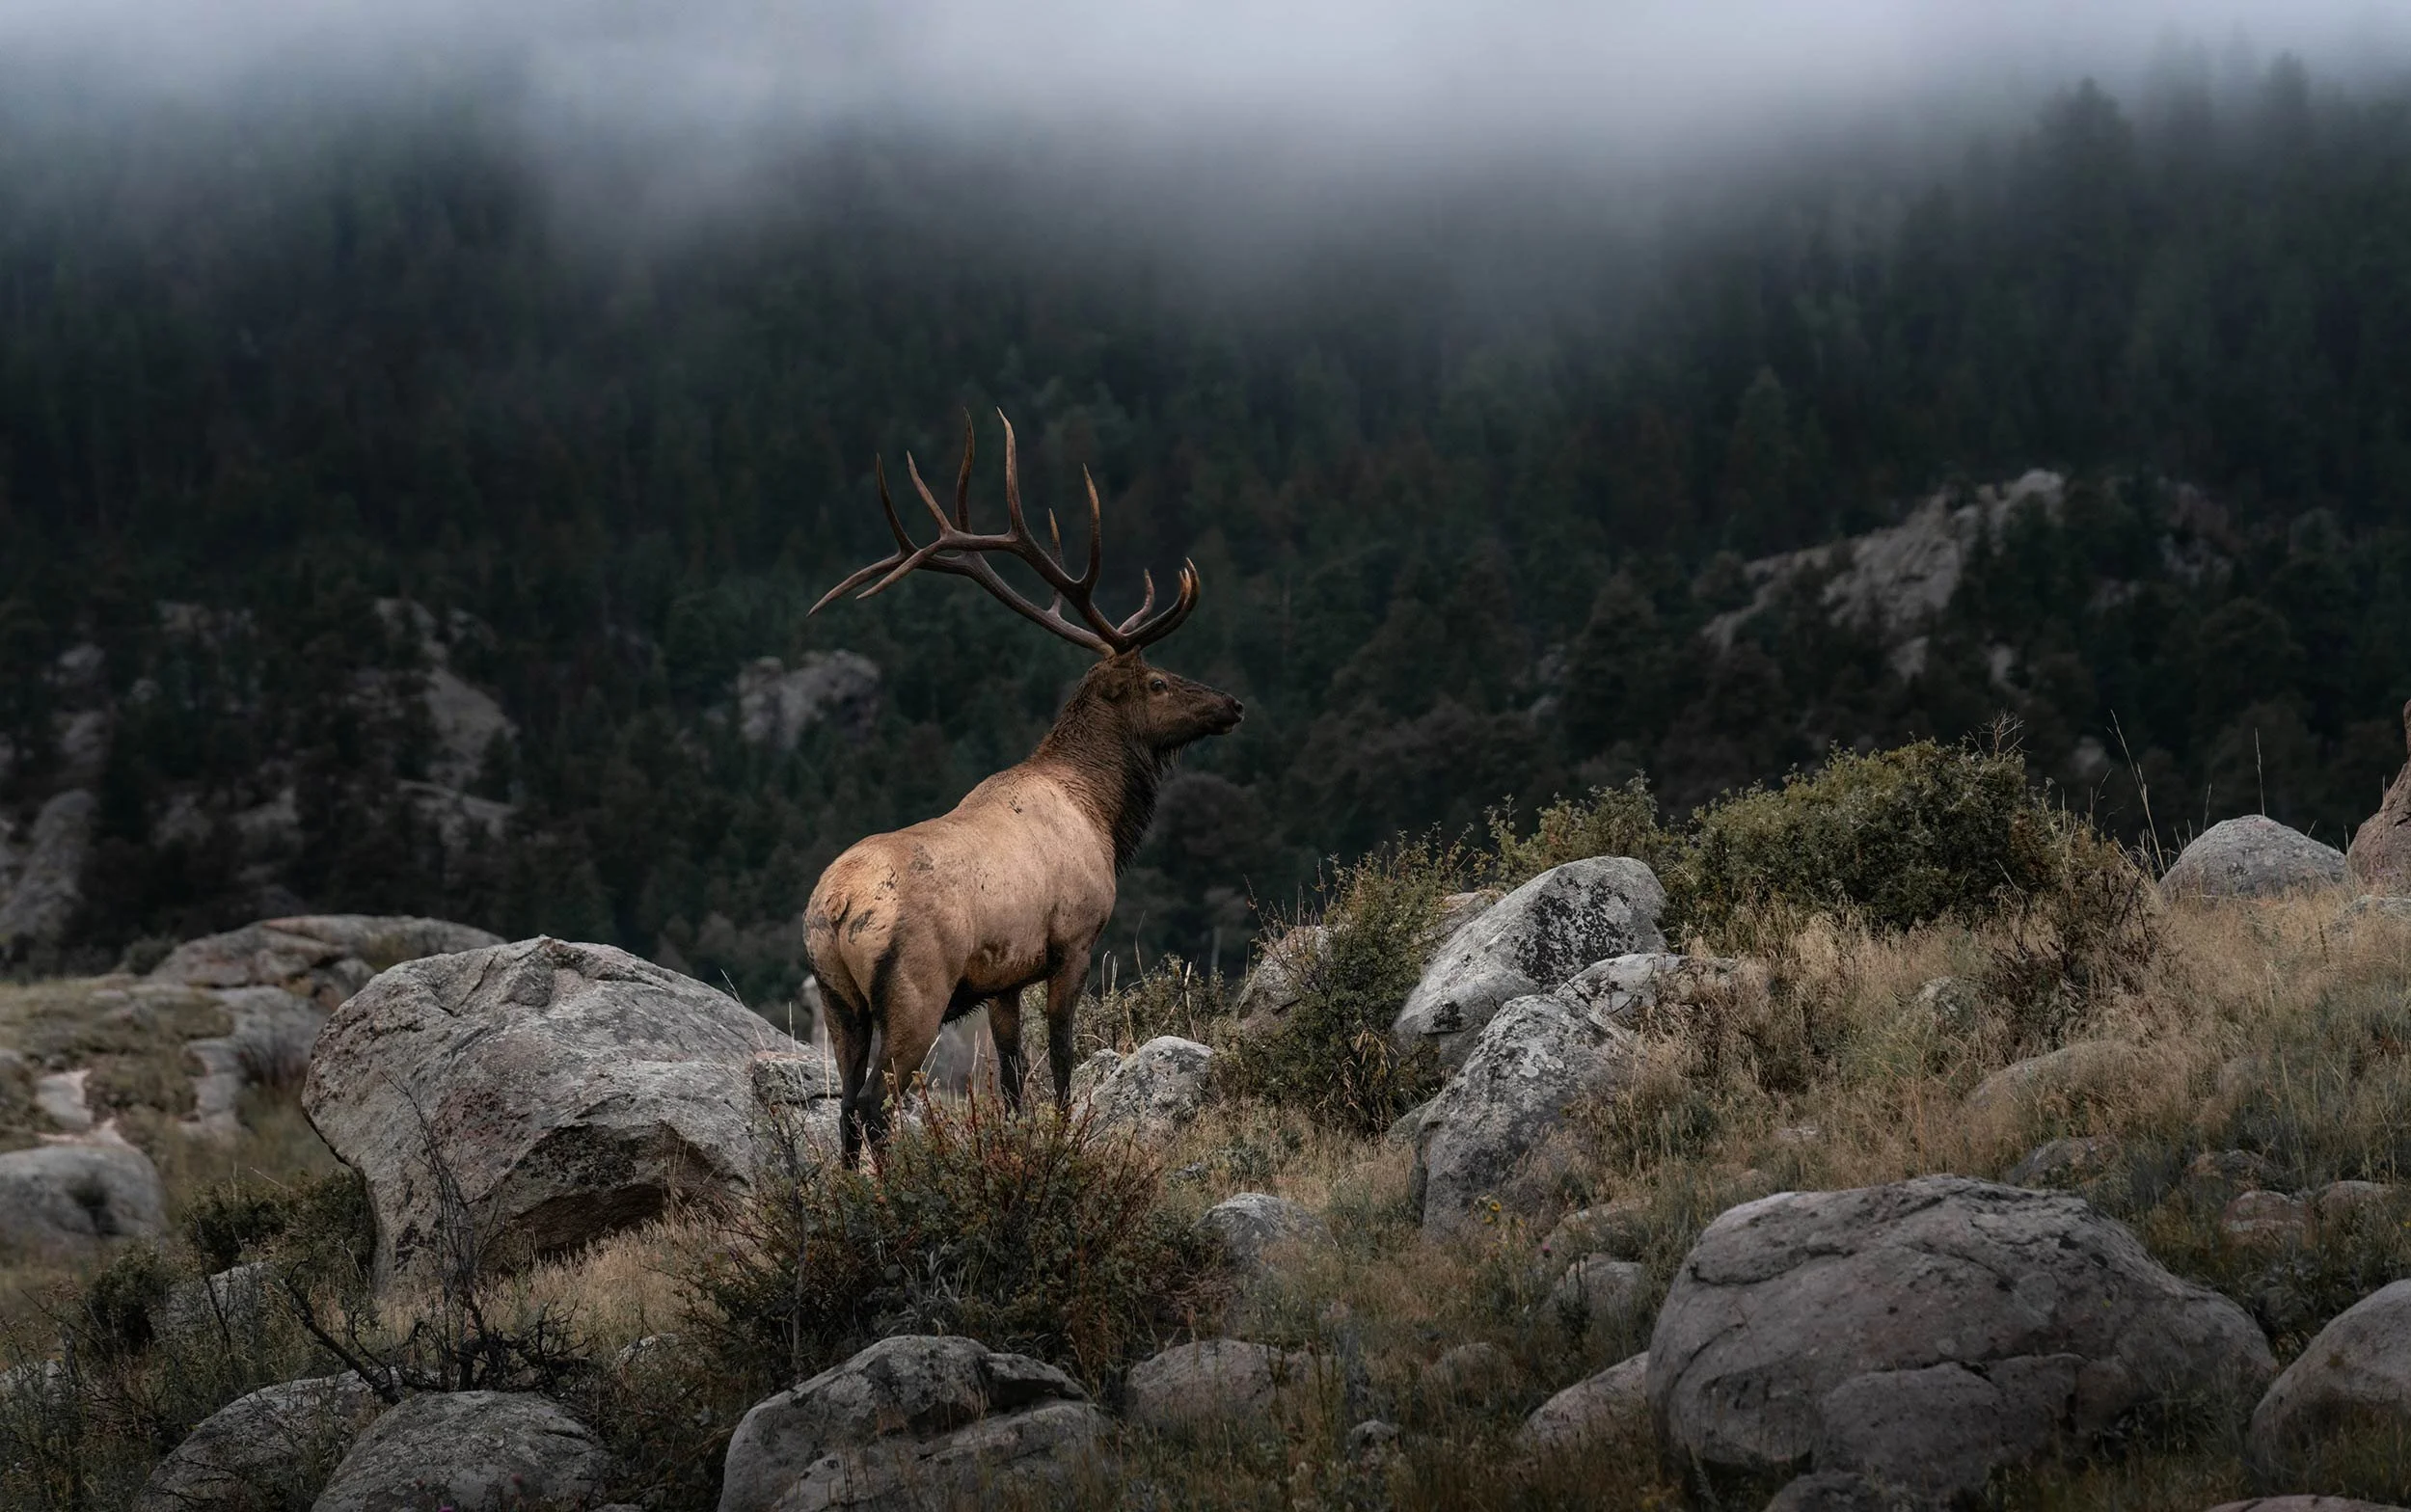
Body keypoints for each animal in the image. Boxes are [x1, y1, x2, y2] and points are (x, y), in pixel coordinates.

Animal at [803, 412, 1244, 1164]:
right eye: (1158, 681)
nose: (1232, 704)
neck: (1102, 815)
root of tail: (835, 908)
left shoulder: (1003, 976)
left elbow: (1012, 1078)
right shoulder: (1074, 939)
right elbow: (1061, 1055)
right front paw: (1069, 1137)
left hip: (839, 1002)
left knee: (843, 1108)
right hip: (917, 992)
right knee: (872, 1106)